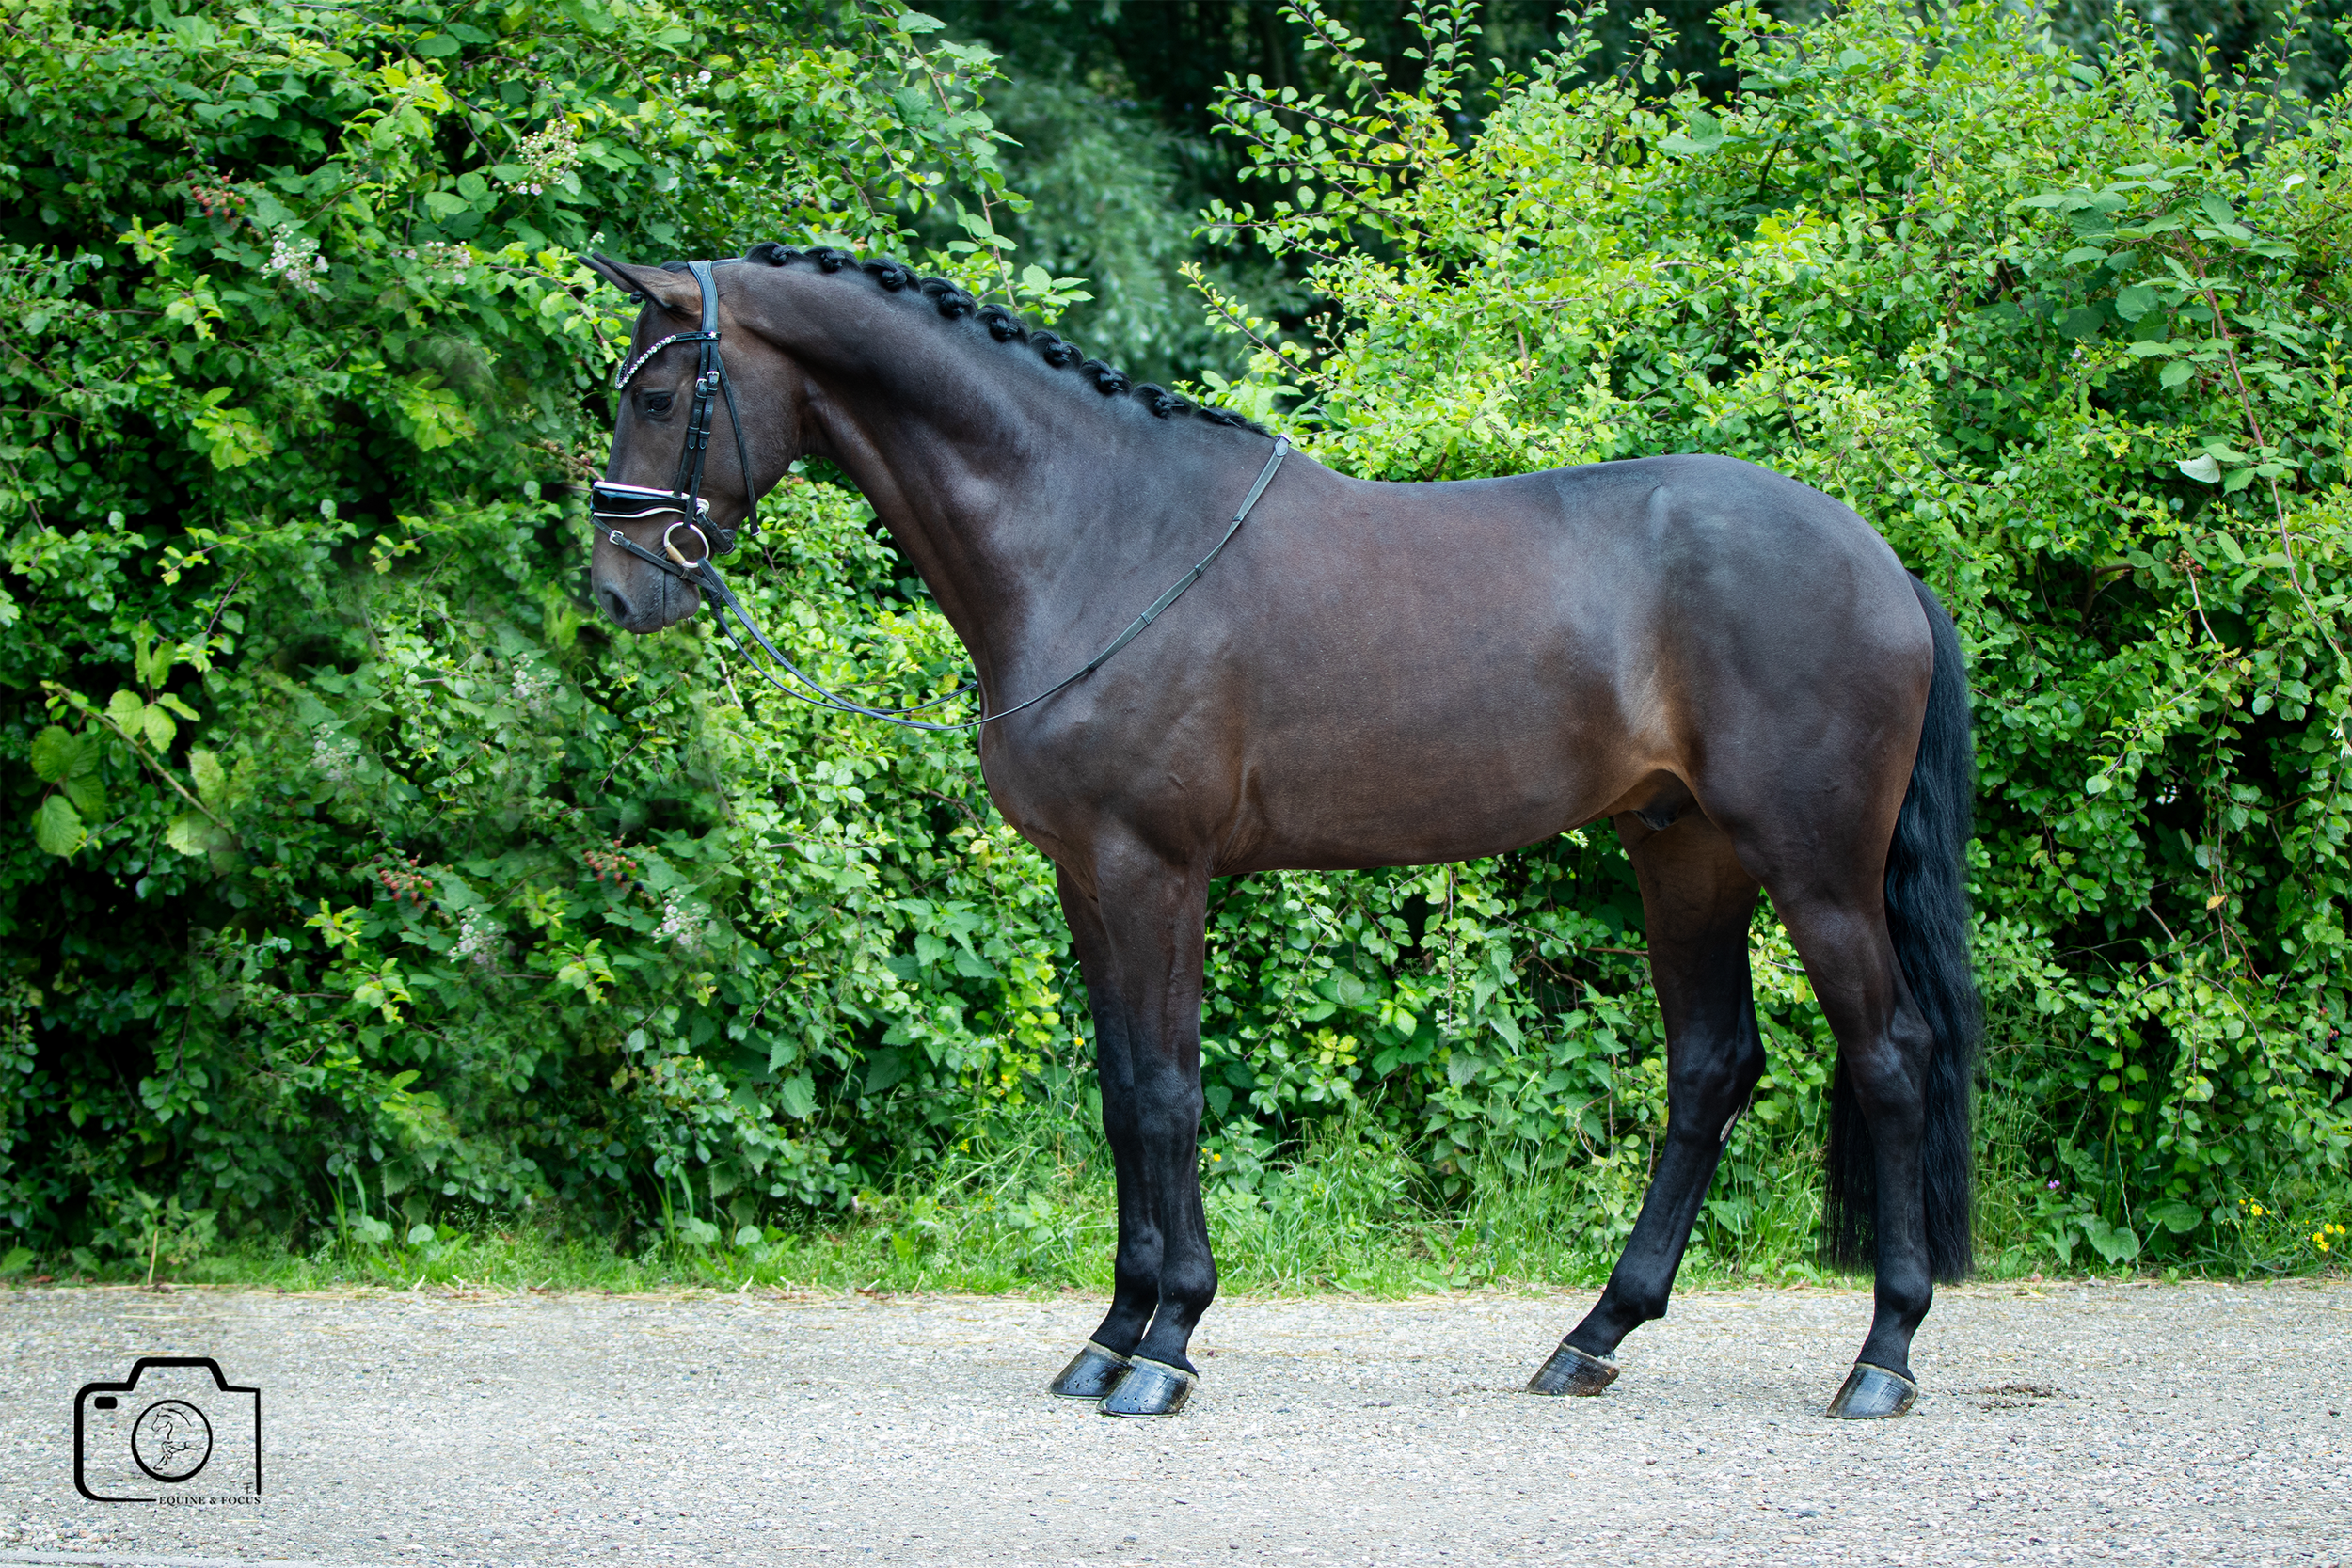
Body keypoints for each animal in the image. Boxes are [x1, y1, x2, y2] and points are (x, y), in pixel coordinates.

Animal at [578, 246, 1980, 1421]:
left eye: (662, 392)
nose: (617, 590)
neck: (1095, 531)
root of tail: (1883, 565)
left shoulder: (1156, 869)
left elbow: (1165, 1090)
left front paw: (1165, 1345)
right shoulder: (1086, 877)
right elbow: (1122, 1093)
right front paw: (1110, 1333)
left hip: (1814, 865)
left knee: (1891, 1055)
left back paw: (1882, 1358)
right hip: (1682, 848)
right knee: (1710, 1067)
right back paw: (1592, 1336)